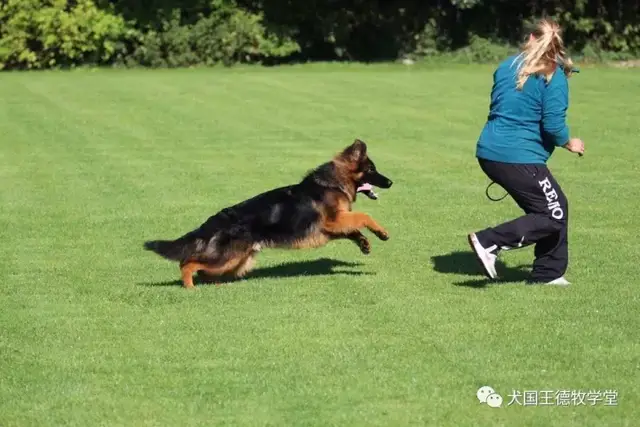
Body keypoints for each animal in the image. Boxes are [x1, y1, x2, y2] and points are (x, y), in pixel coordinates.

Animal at [144, 140, 392, 288]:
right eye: (371, 170)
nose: (390, 182)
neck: (332, 183)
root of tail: (217, 219)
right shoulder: (334, 221)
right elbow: (363, 216)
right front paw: (382, 232)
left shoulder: (333, 226)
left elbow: (353, 229)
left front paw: (364, 242)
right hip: (227, 258)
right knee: (186, 263)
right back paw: (189, 287)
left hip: (237, 261)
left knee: (202, 270)